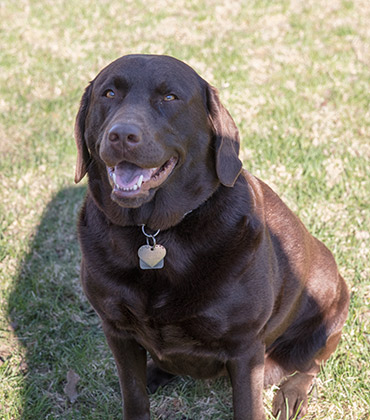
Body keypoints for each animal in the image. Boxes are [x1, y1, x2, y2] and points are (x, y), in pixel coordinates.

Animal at [73, 54, 348, 418]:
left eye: (170, 97)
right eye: (108, 93)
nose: (122, 135)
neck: (155, 231)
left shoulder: (244, 348)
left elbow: (247, 407)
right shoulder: (116, 329)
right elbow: (133, 396)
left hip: (330, 313)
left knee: (309, 365)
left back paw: (292, 395)